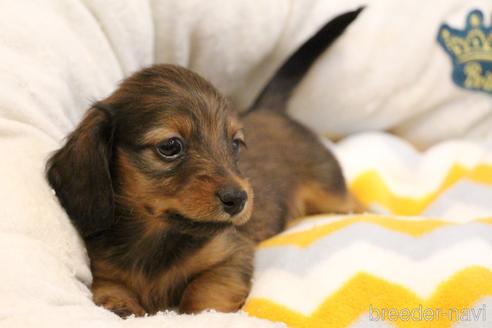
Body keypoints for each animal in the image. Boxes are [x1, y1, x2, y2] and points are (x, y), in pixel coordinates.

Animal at [47, 10, 362, 318]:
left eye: (235, 144)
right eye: (170, 146)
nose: (239, 199)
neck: (153, 239)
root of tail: (270, 110)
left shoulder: (231, 255)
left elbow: (205, 294)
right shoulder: (103, 270)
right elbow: (110, 288)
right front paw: (121, 305)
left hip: (331, 194)